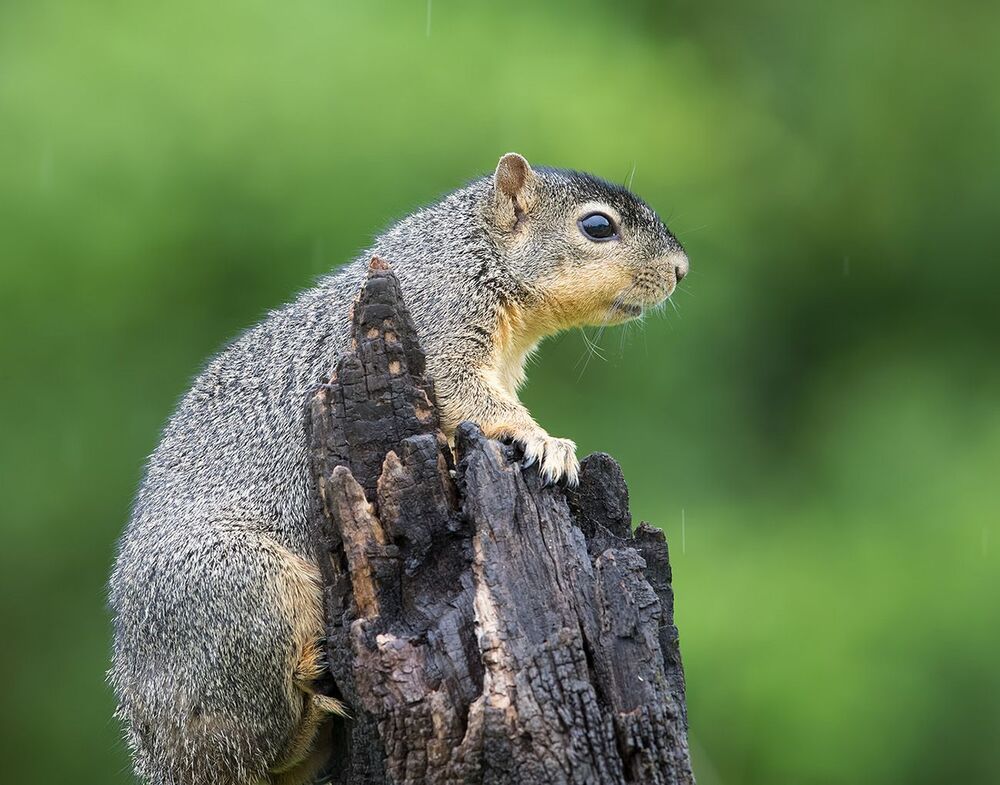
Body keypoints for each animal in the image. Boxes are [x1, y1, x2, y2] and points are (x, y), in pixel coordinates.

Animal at [108, 153, 688, 785]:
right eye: (598, 227)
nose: (682, 269)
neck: (471, 251)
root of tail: (159, 751)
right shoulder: (438, 325)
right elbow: (472, 398)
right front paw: (546, 442)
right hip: (246, 595)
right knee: (250, 741)